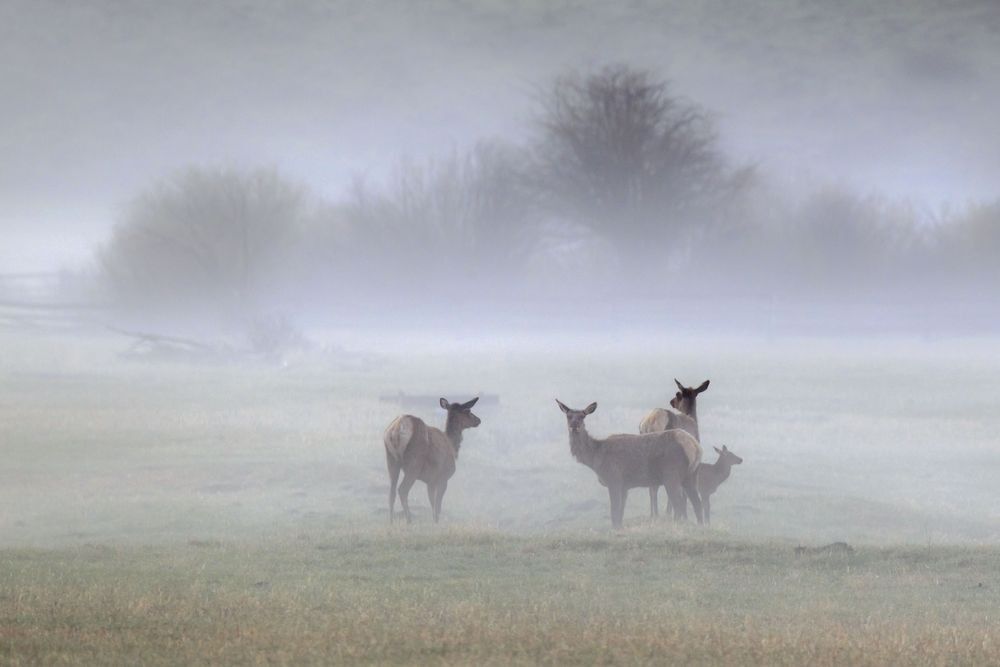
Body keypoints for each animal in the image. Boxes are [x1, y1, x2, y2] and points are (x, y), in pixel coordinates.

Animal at [556, 400, 702, 529]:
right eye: (568, 416)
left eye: (582, 416)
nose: (574, 426)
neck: (596, 459)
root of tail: (695, 447)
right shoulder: (624, 486)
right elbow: (620, 514)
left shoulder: (614, 479)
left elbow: (614, 512)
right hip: (691, 475)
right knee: (696, 503)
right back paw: (701, 525)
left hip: (671, 474)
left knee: (679, 504)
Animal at [639, 379, 710, 517]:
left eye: (678, 395)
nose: (671, 401)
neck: (692, 418)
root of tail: (649, 423)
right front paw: (680, 514)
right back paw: (661, 514)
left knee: (651, 486)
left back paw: (653, 514)